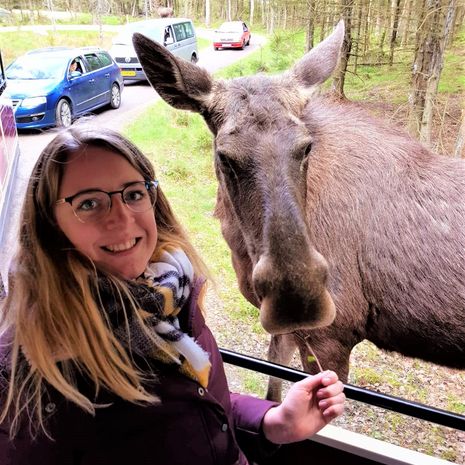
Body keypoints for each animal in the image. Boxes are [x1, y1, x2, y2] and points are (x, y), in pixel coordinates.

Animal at [131, 21, 464, 398]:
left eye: (306, 147)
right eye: (225, 156)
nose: (296, 295)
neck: (240, 247)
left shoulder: (332, 334)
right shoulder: (290, 329)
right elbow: (274, 386)